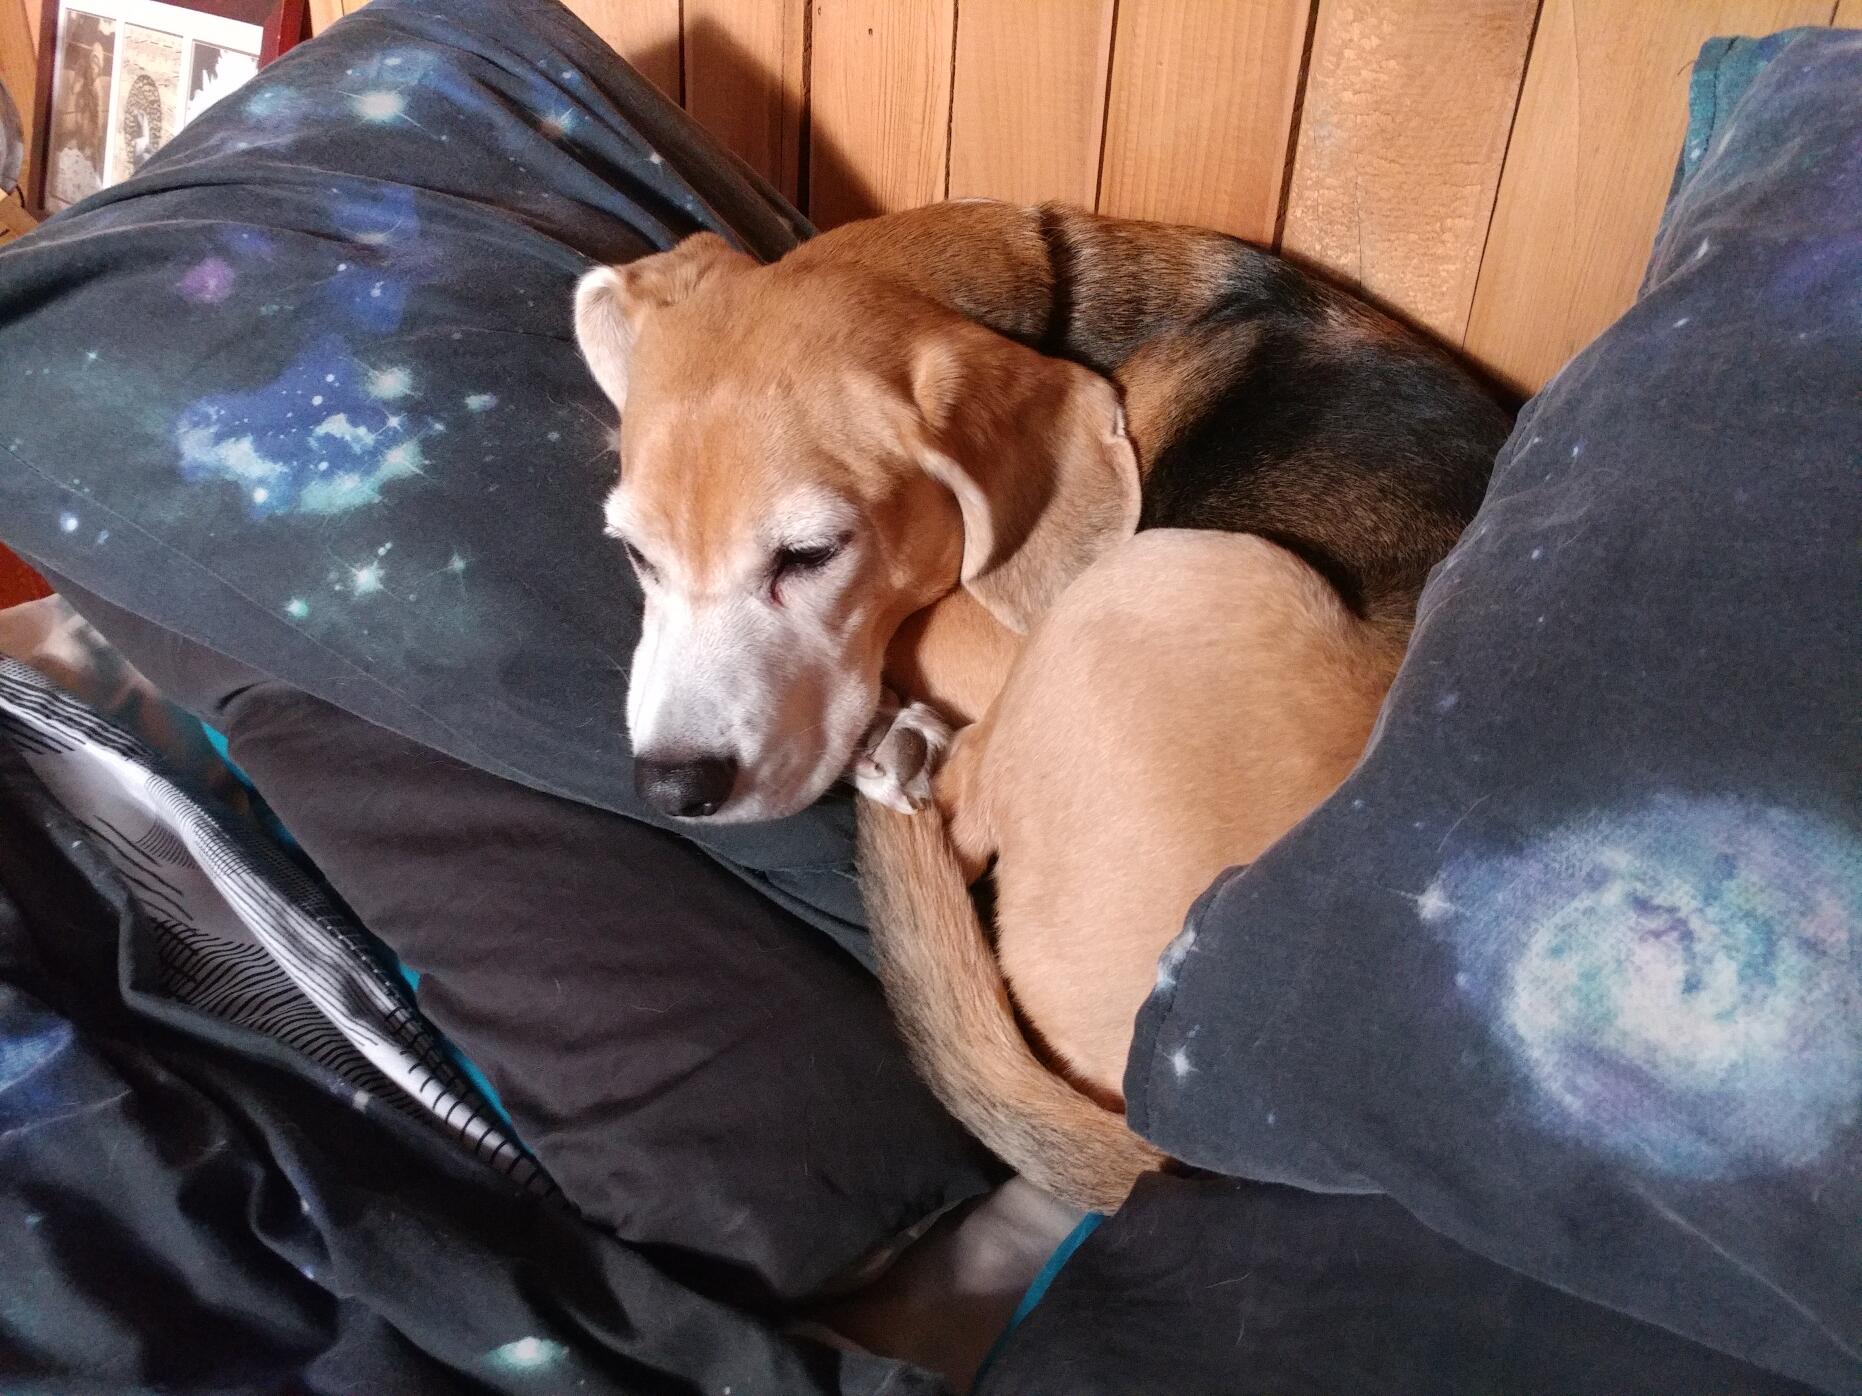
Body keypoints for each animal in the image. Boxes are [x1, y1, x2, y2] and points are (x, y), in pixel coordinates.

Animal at [572, 199, 1508, 1207]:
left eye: (812, 555)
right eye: (634, 554)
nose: (673, 787)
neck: (1050, 291)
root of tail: (1181, 1140)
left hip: (1157, 576)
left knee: (956, 806)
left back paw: (904, 751)